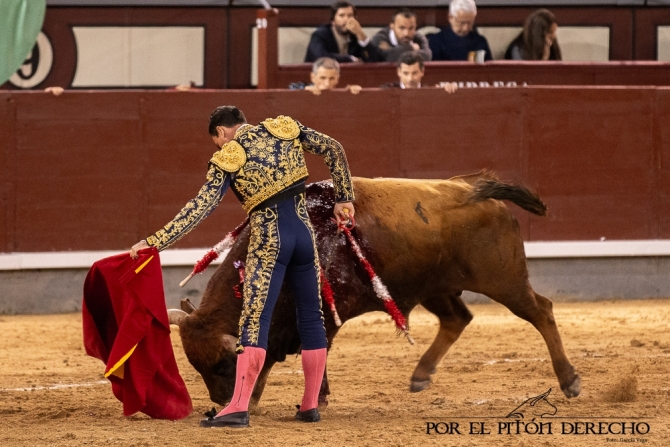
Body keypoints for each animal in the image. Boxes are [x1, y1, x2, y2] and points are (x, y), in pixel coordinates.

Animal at [169, 175, 584, 410]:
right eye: (197, 367)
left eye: (223, 365)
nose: (220, 402)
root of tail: (481, 196)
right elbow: (268, 354)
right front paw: (253, 398)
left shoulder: (319, 315)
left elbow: (312, 351)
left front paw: (314, 399)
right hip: (434, 287)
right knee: (458, 318)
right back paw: (420, 375)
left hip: (503, 279)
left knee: (541, 311)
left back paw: (569, 381)